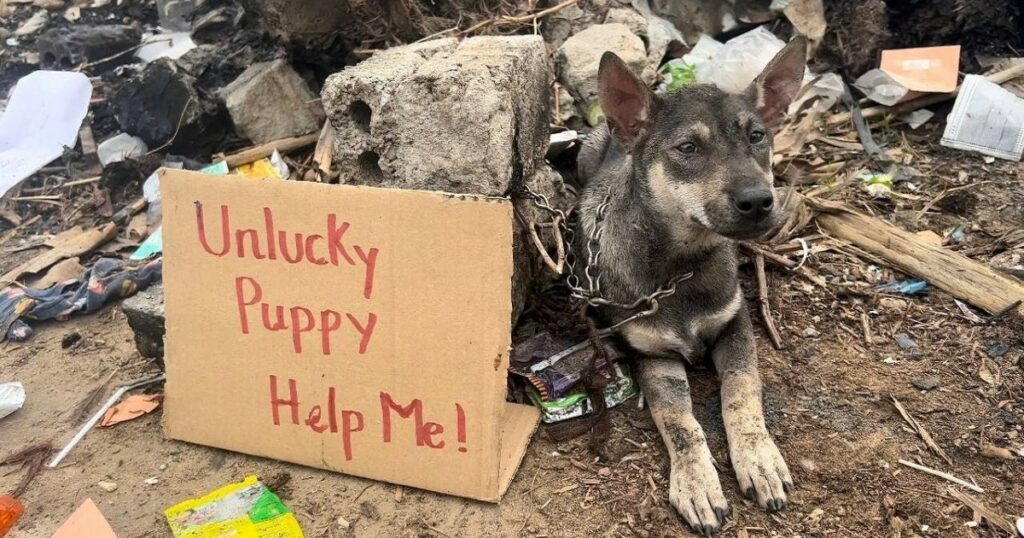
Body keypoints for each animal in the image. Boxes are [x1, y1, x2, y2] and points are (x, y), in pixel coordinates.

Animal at [577, 37, 806, 532]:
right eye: (687, 147)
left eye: (756, 136)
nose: (759, 202)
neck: (681, 267)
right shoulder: (651, 354)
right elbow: (678, 420)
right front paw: (697, 482)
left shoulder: (735, 324)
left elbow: (741, 392)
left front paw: (759, 459)